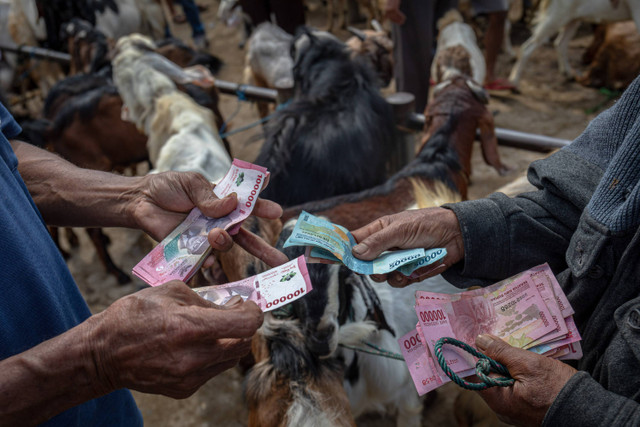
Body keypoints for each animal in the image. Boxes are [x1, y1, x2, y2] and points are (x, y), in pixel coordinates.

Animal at [504, 0, 640, 87]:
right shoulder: (636, 11)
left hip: (573, 19)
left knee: (560, 43)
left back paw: (568, 73)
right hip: (557, 16)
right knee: (527, 47)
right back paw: (514, 81)